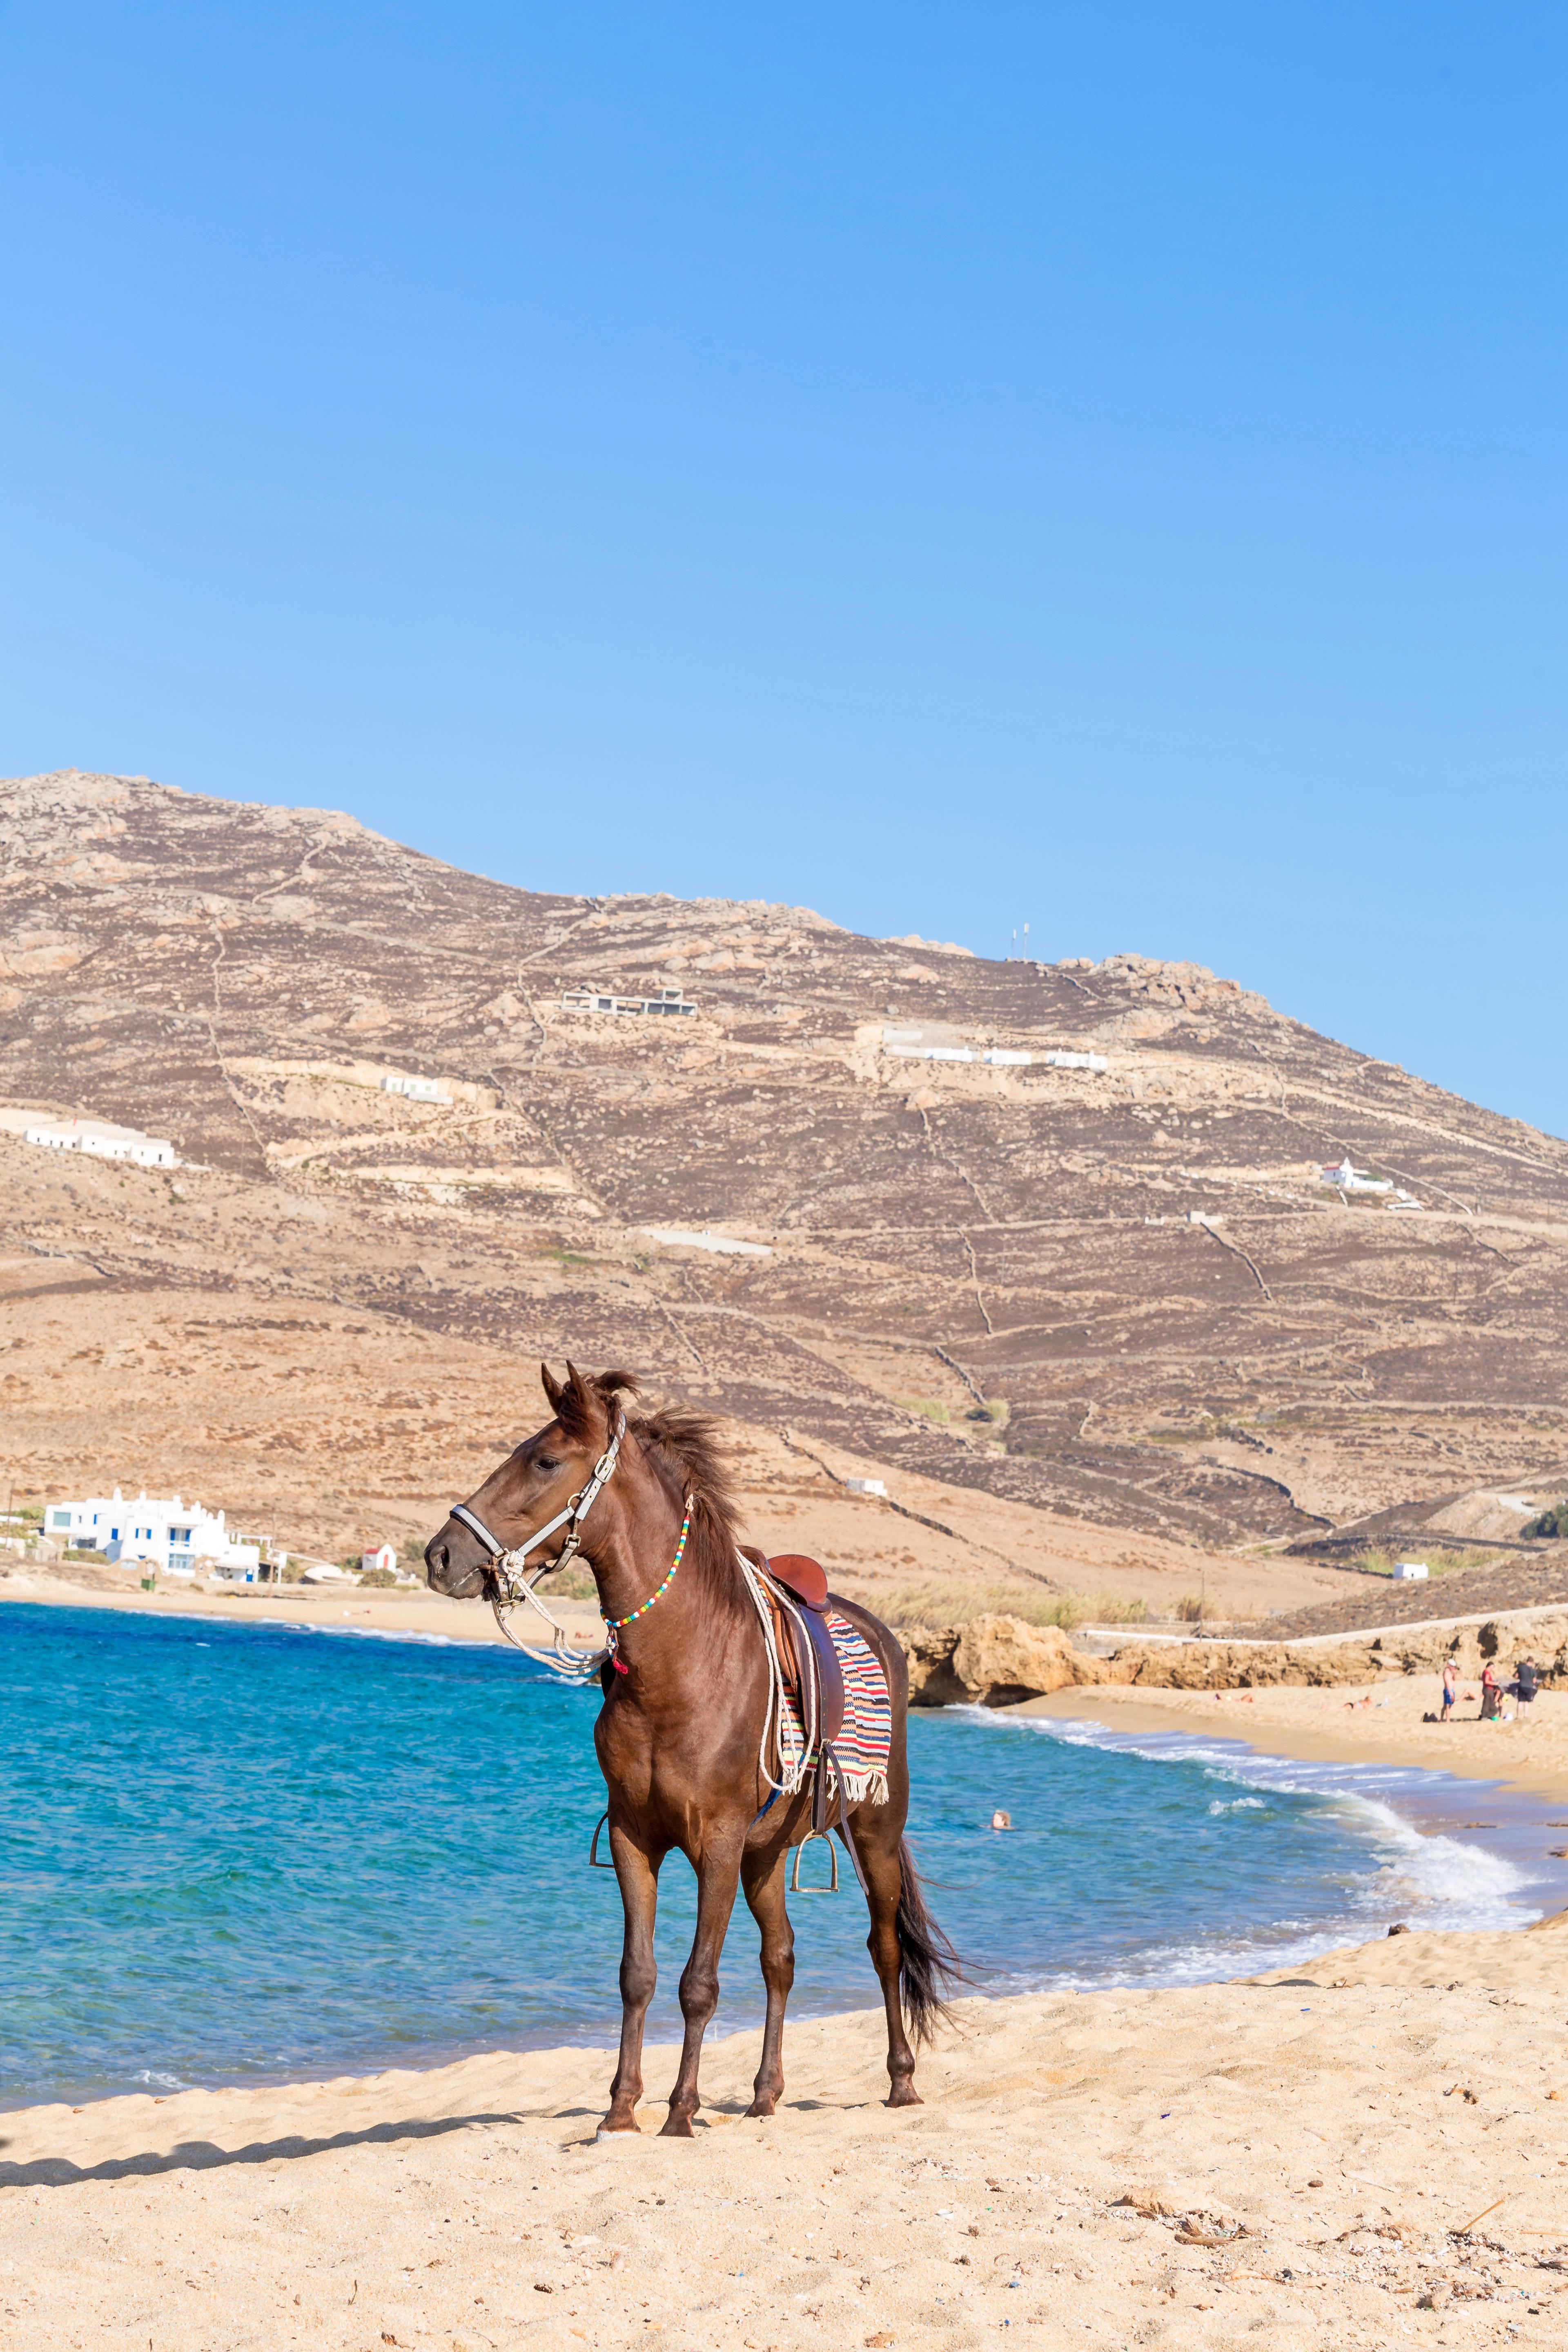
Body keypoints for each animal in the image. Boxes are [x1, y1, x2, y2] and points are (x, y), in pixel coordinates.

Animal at [430, 1373, 964, 2145]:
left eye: (545, 1462)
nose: (441, 1555)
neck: (683, 1664)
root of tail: (881, 1632)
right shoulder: (636, 1839)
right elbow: (639, 1974)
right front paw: (621, 2109)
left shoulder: (716, 1842)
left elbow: (698, 1983)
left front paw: (681, 2111)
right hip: (765, 1856)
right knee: (781, 1958)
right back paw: (765, 2095)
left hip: (873, 1834)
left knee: (884, 1947)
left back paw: (901, 2083)